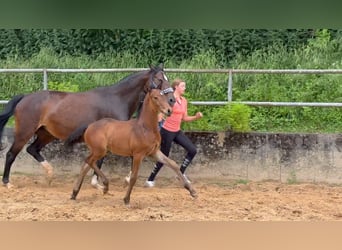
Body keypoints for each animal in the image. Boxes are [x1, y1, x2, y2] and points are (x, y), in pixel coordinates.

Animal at [0, 64, 175, 188]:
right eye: (159, 79)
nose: (172, 100)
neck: (117, 99)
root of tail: (25, 98)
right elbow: (112, 158)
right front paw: (102, 182)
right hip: (25, 132)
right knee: (11, 154)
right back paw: (7, 183)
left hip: (46, 134)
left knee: (32, 149)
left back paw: (49, 175)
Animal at [66, 89, 198, 206]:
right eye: (155, 97)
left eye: (165, 97)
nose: (169, 110)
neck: (145, 128)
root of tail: (89, 125)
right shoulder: (138, 155)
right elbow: (134, 177)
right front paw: (126, 199)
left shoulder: (154, 152)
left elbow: (173, 164)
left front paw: (192, 192)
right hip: (100, 151)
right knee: (88, 161)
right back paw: (105, 186)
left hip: (98, 151)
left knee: (86, 165)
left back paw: (75, 193)